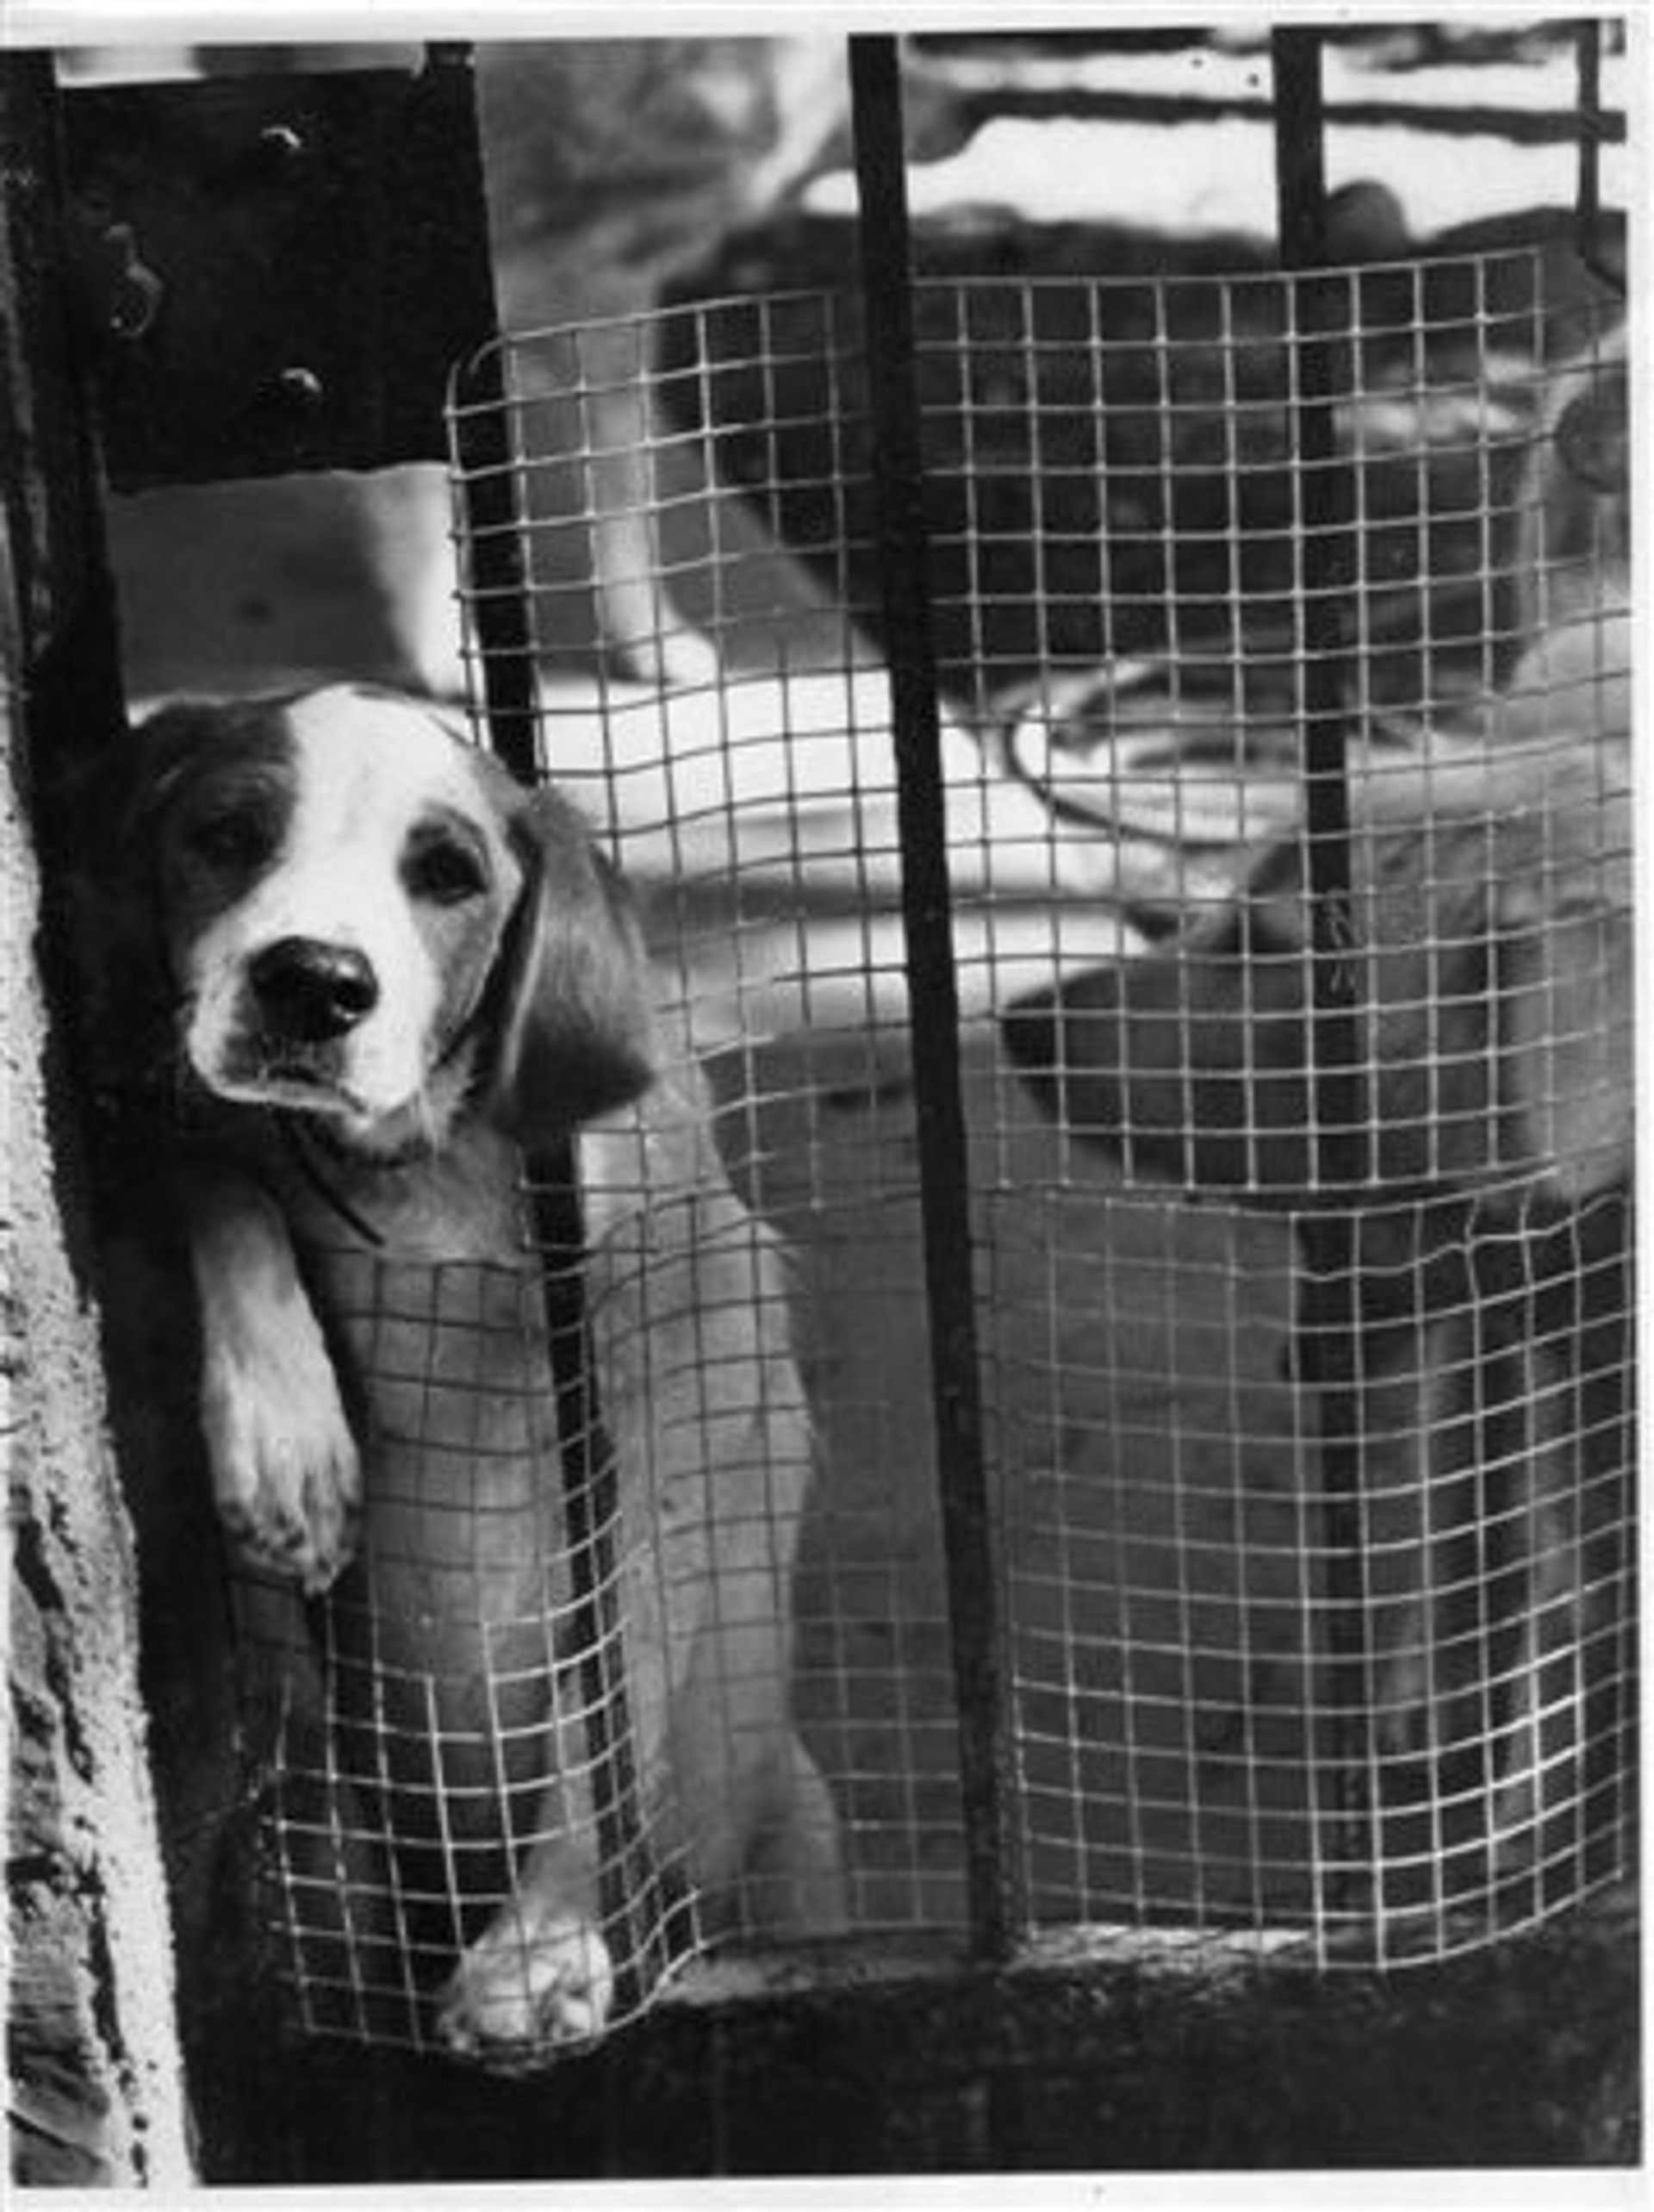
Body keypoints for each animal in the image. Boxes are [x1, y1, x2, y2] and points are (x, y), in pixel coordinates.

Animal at [92, 682, 844, 2062]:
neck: (422, 1181)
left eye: (448, 873)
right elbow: (221, 1171)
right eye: (227, 833)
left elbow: (609, 1721)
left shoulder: (677, 1436)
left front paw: (541, 1946)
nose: (313, 983)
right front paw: (290, 1440)